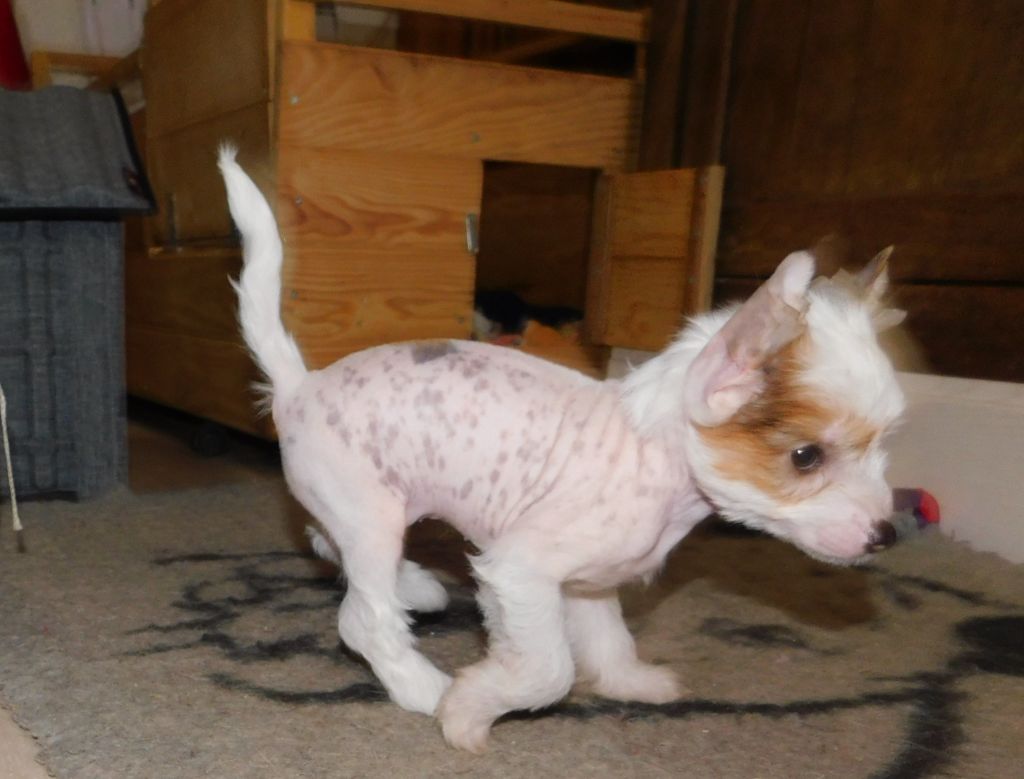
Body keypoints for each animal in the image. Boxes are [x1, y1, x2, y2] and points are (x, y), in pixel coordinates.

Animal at [219, 147, 906, 752]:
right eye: (806, 458)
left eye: (884, 446)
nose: (886, 535)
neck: (655, 451)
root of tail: (298, 385)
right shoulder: (520, 572)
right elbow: (548, 672)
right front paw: (467, 711)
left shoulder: (584, 587)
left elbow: (608, 640)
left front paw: (631, 683)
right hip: (372, 515)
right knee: (362, 619)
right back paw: (422, 685)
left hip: (367, 514)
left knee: (330, 549)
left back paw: (414, 588)